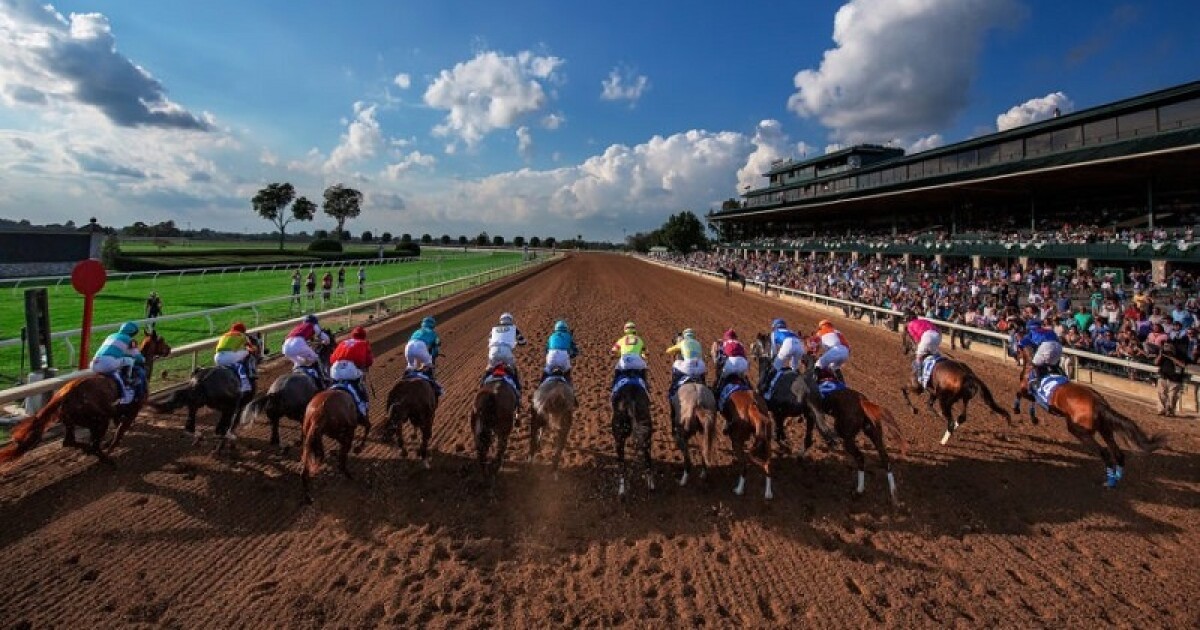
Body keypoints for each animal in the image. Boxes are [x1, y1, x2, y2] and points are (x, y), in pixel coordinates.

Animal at [0, 328, 171, 465]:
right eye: (162, 340)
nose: (169, 349)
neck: (141, 368)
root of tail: (65, 393)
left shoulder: (119, 412)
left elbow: (118, 429)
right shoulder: (133, 410)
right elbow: (118, 434)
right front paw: (110, 447)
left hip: (72, 420)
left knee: (69, 442)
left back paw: (90, 449)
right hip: (98, 419)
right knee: (92, 443)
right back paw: (103, 456)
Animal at [811, 374, 902, 506]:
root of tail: (863, 403)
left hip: (847, 436)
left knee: (860, 458)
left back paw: (858, 490)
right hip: (875, 434)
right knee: (885, 460)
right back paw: (894, 494)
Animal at [1012, 343, 1161, 487]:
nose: (1014, 355)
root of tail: (1099, 404)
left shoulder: (1027, 392)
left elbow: (1019, 394)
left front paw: (1017, 409)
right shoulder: (1033, 396)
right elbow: (1030, 402)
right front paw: (1034, 418)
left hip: (1079, 430)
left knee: (1104, 452)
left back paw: (1109, 481)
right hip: (1105, 429)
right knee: (1117, 452)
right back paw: (1117, 477)